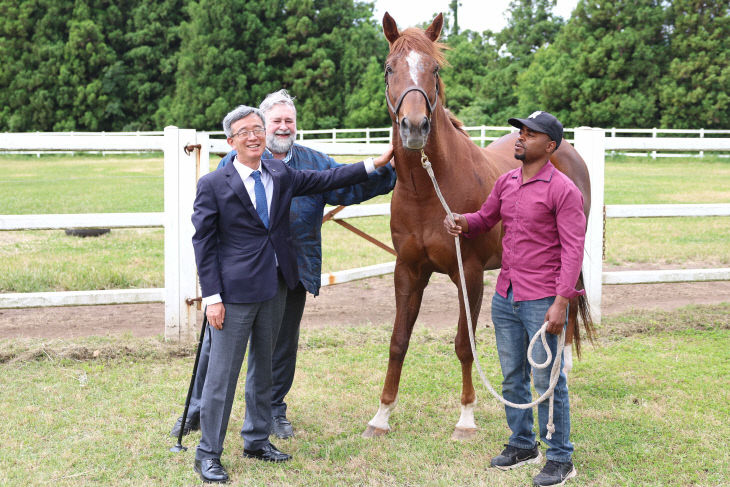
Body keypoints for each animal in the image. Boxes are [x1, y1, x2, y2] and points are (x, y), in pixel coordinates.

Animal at [362, 12, 596, 442]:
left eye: (434, 69)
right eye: (389, 68)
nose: (415, 126)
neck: (428, 190)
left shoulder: (468, 274)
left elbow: (463, 345)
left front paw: (466, 419)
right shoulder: (407, 272)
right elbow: (398, 342)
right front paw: (381, 416)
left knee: (566, 305)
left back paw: (561, 369)